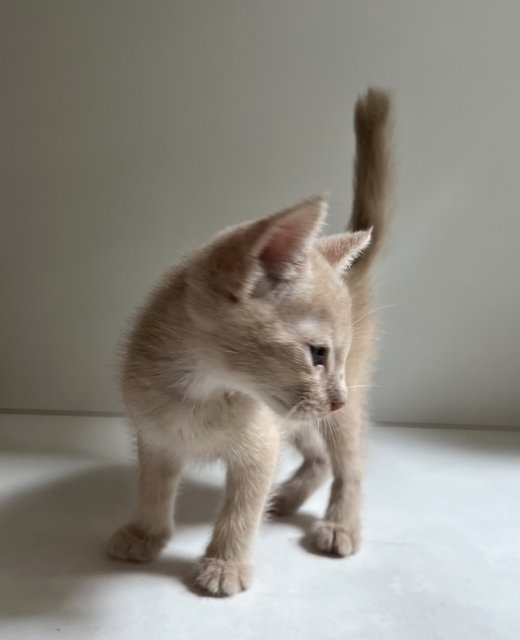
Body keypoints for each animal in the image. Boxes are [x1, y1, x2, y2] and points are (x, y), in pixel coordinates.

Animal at [109, 89, 394, 596]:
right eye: (317, 354)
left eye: (332, 356)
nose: (337, 396)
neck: (198, 391)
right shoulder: (155, 438)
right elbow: (153, 489)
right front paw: (146, 533)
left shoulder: (260, 447)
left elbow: (242, 509)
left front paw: (225, 564)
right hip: (304, 415)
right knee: (319, 457)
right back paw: (288, 497)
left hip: (334, 415)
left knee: (349, 465)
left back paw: (339, 525)